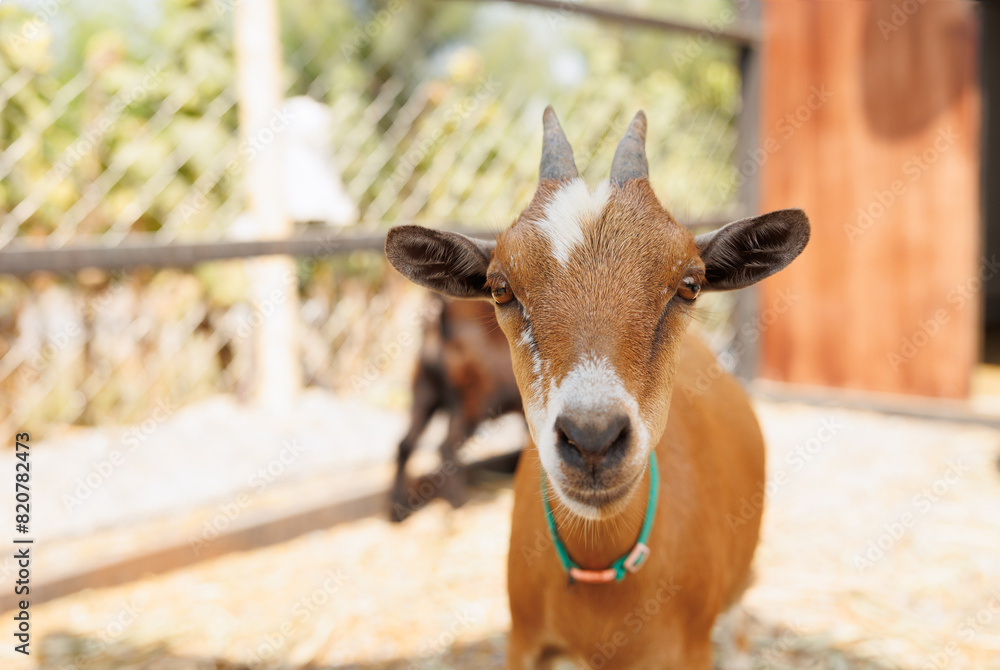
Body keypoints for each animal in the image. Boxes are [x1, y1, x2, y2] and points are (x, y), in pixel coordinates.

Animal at [390, 295, 522, 522]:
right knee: (446, 446)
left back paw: (399, 509)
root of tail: (439, 319)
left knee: (405, 445)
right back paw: (459, 501)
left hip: (424, 396)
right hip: (472, 404)